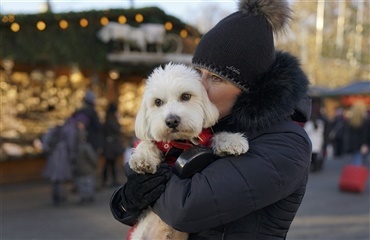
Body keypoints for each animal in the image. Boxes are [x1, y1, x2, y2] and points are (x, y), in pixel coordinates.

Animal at [129, 62, 249, 240]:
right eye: (157, 102)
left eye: (186, 96)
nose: (171, 121)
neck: (180, 143)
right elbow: (146, 142)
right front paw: (142, 159)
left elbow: (215, 137)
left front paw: (232, 141)